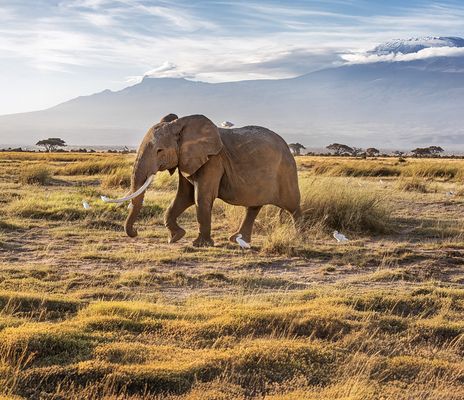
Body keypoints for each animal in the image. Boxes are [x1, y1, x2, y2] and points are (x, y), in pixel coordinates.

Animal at [104, 113, 300, 247]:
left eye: (159, 151)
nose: (136, 232)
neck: (181, 125)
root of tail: (288, 147)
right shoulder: (186, 160)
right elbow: (184, 197)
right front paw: (175, 237)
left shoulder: (213, 160)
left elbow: (202, 197)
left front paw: (200, 244)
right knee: (253, 207)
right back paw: (237, 240)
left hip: (286, 171)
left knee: (293, 206)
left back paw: (299, 238)